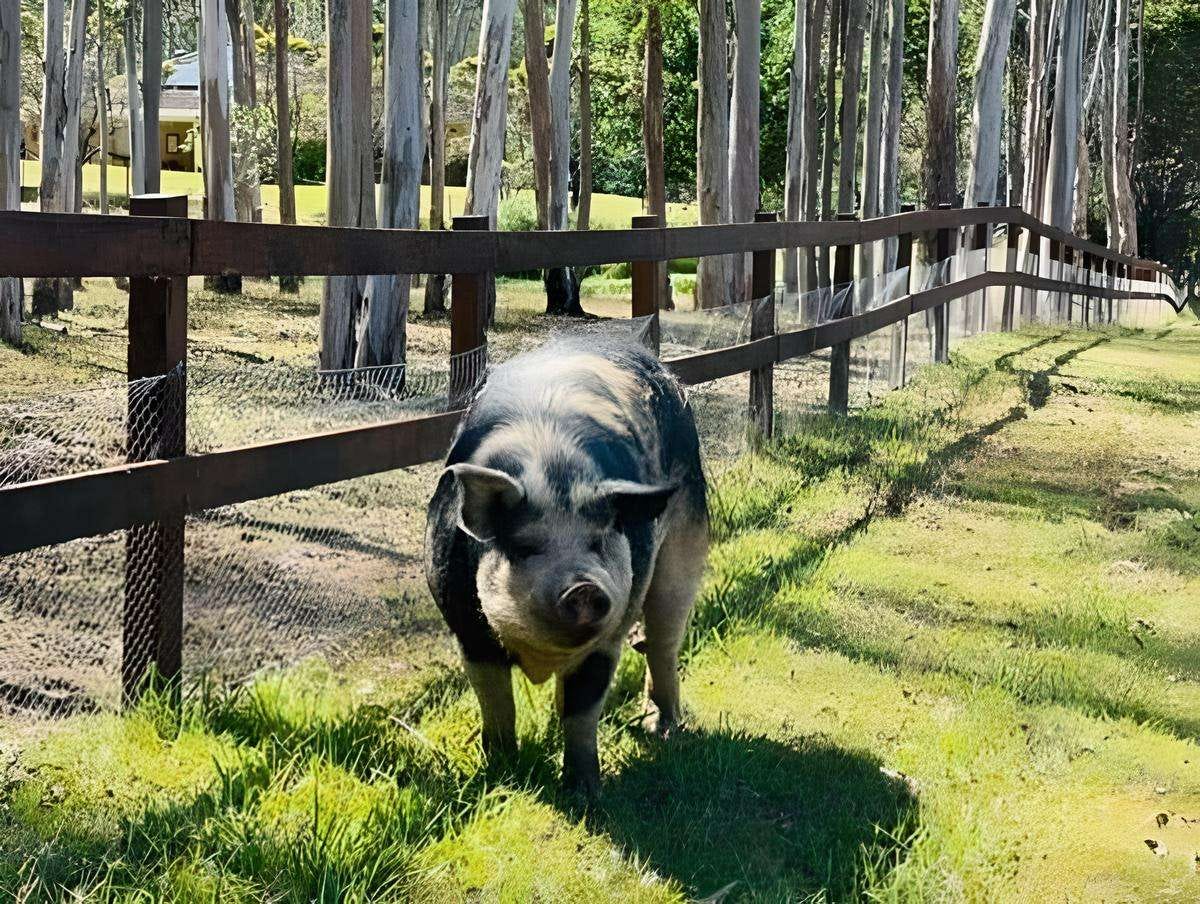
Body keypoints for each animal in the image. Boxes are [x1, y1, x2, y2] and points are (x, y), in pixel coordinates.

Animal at [425, 337, 709, 795]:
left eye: (598, 542)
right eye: (525, 548)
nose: (584, 587)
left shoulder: (609, 634)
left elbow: (583, 707)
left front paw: (584, 793)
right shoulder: (467, 628)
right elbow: (496, 702)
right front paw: (500, 772)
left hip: (686, 541)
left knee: (664, 643)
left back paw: (661, 729)